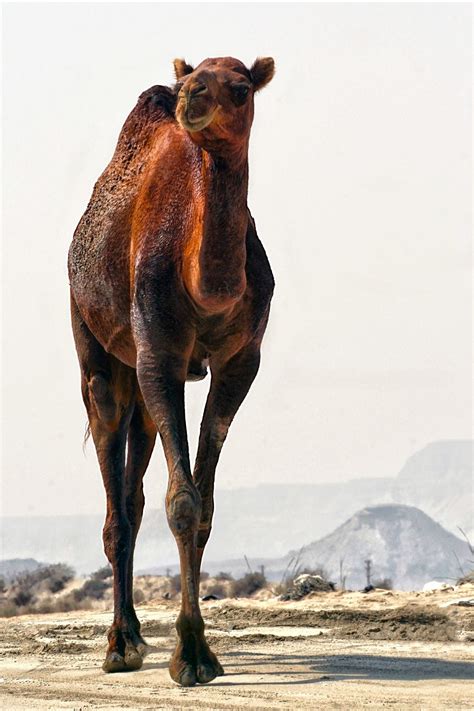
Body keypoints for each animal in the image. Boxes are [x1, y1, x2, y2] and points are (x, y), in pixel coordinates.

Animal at [68, 56, 275, 687]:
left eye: (241, 86)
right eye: (191, 79)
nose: (192, 97)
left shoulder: (241, 361)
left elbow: (201, 507)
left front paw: (200, 650)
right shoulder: (160, 352)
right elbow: (181, 502)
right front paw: (190, 655)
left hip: (139, 377)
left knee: (133, 491)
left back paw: (134, 635)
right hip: (96, 348)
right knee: (115, 494)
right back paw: (119, 644)